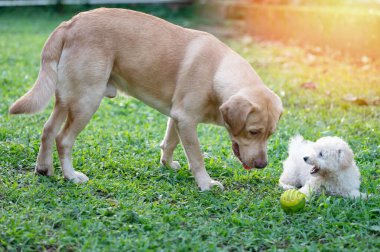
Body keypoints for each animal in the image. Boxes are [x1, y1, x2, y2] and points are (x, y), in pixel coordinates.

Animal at [9, 8, 282, 192]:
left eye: (270, 135)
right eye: (253, 132)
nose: (263, 165)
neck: (217, 72)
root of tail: (70, 23)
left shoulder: (177, 117)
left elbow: (169, 143)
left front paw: (167, 164)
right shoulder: (187, 120)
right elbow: (197, 157)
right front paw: (205, 183)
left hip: (67, 100)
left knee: (47, 130)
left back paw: (43, 168)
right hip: (87, 101)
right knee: (62, 139)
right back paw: (71, 176)